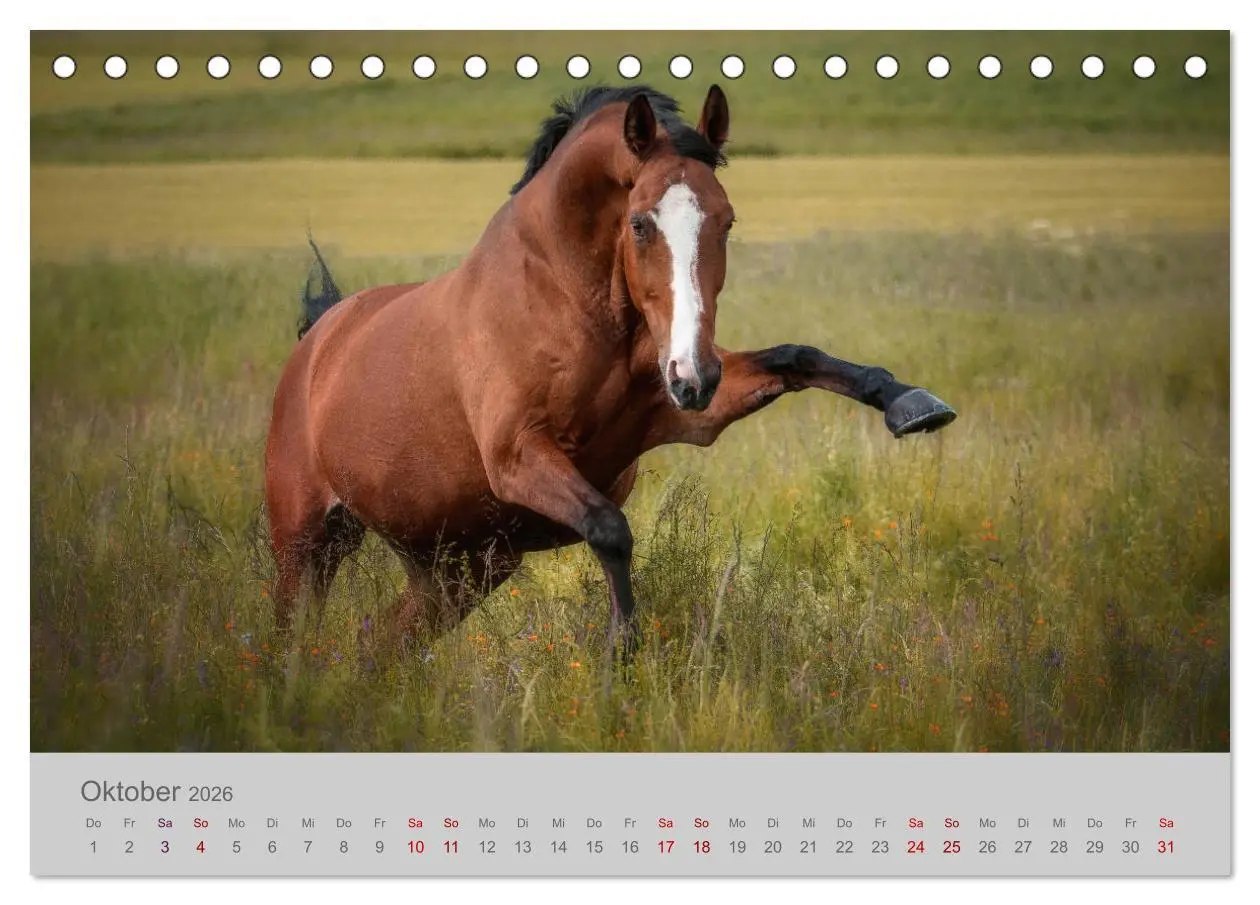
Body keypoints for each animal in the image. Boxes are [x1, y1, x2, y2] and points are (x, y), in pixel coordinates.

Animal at [264, 84, 956, 652]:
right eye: (640, 222)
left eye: (727, 220)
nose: (693, 375)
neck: (564, 304)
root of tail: (319, 336)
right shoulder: (518, 455)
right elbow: (610, 529)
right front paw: (619, 655)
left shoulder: (683, 418)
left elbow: (798, 357)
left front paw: (913, 405)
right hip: (307, 544)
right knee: (293, 641)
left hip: (459, 570)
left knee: (377, 645)